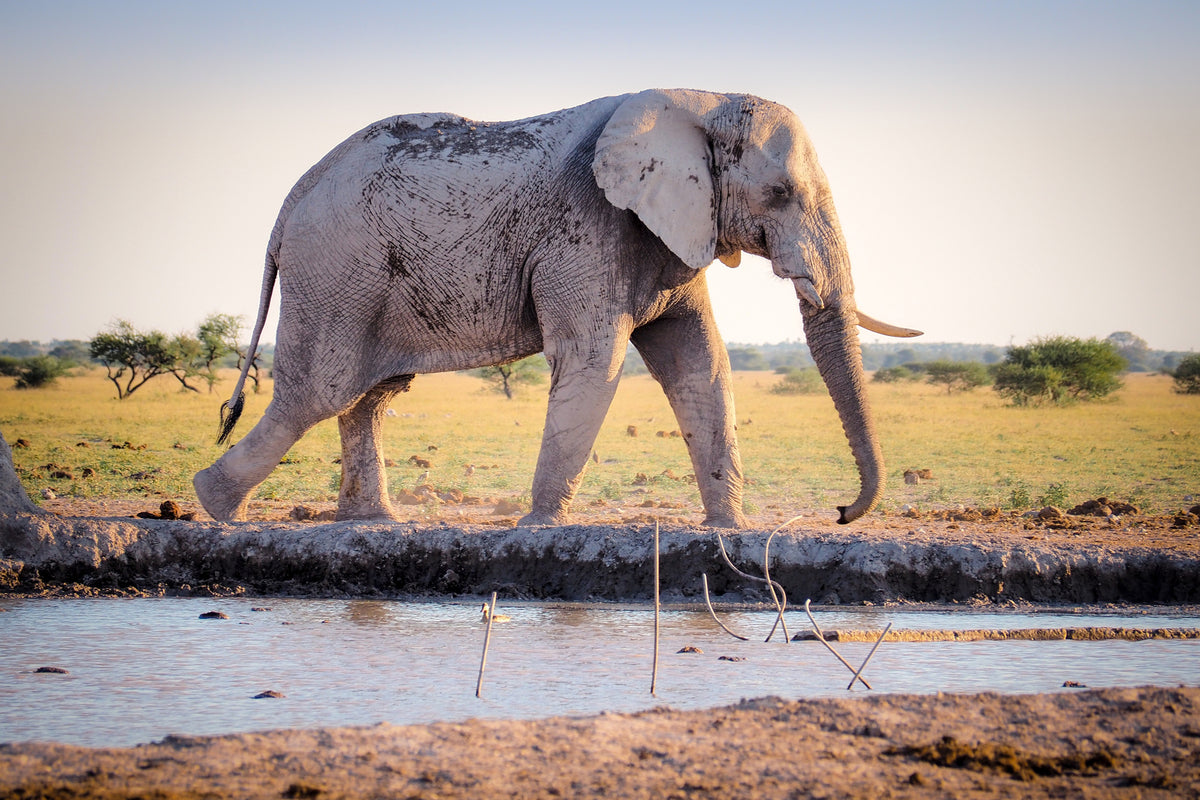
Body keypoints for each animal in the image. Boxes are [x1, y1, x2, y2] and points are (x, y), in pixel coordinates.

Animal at [194, 89, 920, 528]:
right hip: (338, 270)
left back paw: (372, 523)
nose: (840, 514)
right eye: (780, 193)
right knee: (319, 391)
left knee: (369, 394)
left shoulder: (667, 233)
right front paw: (538, 526)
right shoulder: (589, 227)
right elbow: (594, 362)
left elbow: (701, 363)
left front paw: (729, 530)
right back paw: (215, 504)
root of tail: (292, 197)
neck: (701, 99)